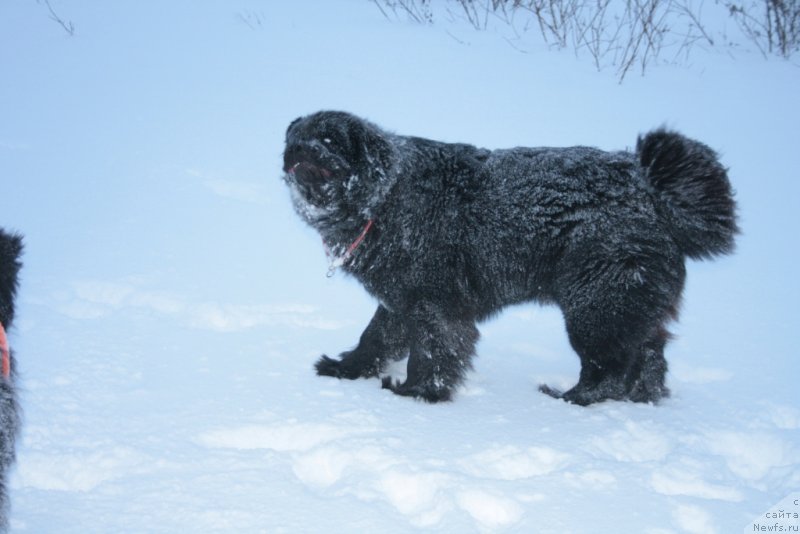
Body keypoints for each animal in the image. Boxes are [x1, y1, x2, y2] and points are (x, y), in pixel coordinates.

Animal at [282, 112, 736, 406]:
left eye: (330, 140)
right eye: (295, 138)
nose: (299, 148)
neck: (386, 197)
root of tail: (653, 196)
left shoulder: (434, 303)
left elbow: (430, 353)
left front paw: (417, 394)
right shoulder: (399, 300)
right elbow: (373, 339)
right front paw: (345, 370)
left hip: (596, 308)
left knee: (608, 370)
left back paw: (569, 399)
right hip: (628, 308)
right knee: (649, 358)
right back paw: (643, 401)